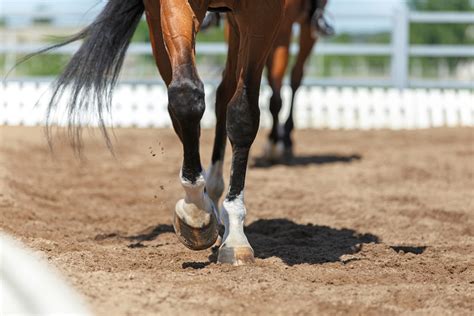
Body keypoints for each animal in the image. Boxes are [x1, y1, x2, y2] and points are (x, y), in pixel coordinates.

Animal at [34, 0, 286, 266]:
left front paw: (235, 237)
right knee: (186, 102)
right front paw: (196, 211)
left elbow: (243, 115)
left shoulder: (264, 14)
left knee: (224, 94)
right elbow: (185, 96)